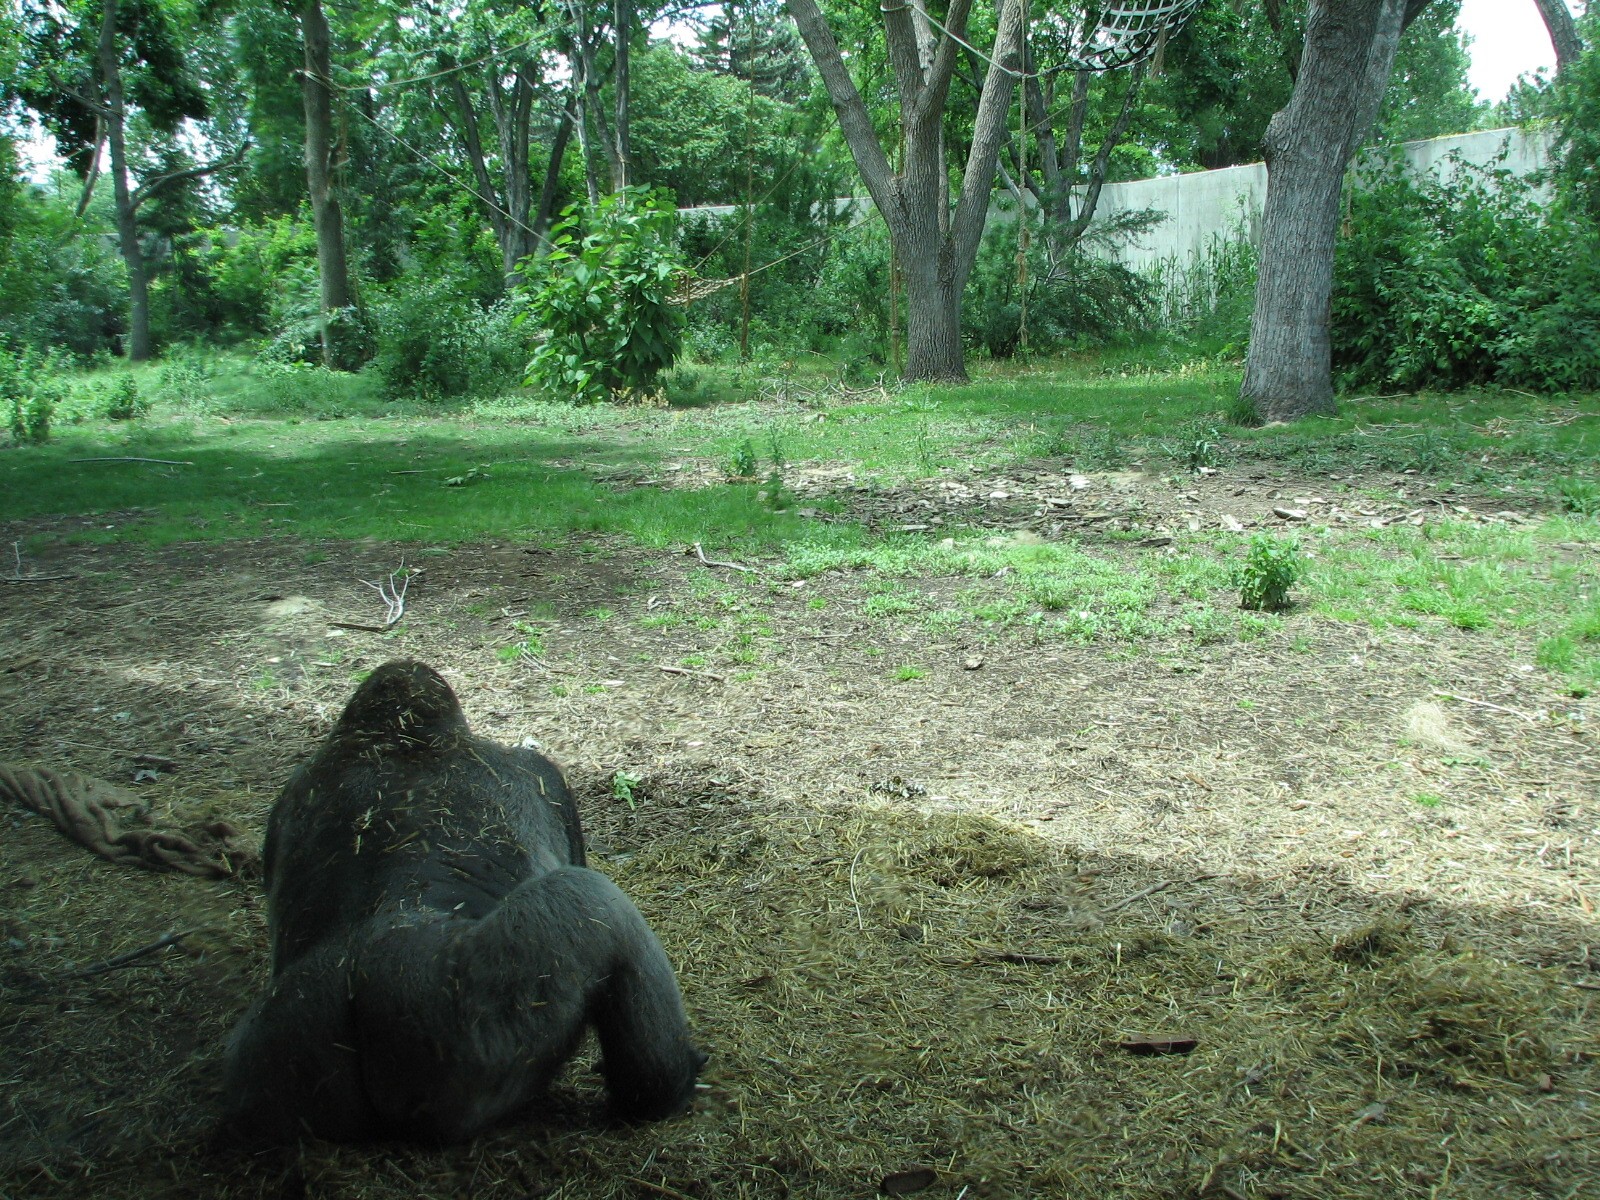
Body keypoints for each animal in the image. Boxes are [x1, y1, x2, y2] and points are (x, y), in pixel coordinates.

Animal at [219, 660, 704, 1145]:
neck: (404, 741)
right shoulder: (543, 773)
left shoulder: (292, 792)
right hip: (466, 1034)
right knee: (591, 900)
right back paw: (663, 1091)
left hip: (277, 1056)